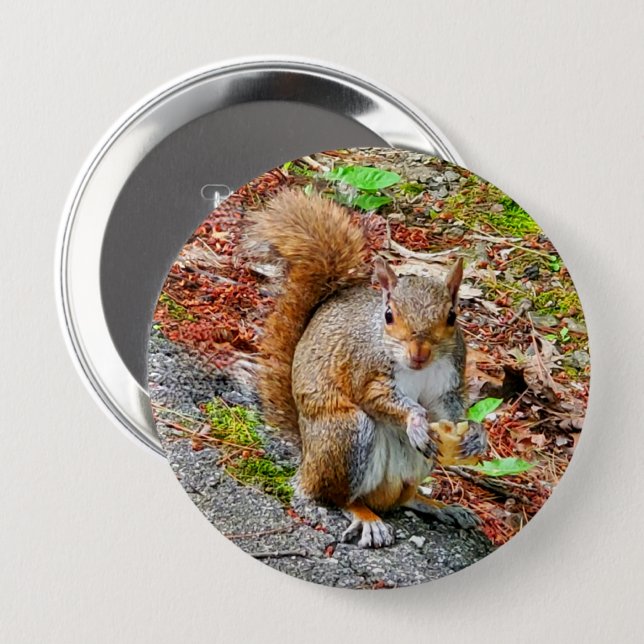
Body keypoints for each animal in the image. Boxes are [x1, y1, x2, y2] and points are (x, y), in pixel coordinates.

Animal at [245, 188, 487, 548]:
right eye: (389, 315)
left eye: (452, 317)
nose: (419, 354)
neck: (418, 370)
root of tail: (307, 461)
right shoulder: (366, 369)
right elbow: (377, 397)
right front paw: (416, 420)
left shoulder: (448, 381)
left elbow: (449, 409)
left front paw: (475, 433)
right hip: (347, 435)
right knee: (337, 497)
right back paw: (366, 518)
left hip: (413, 465)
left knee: (399, 500)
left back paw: (436, 505)